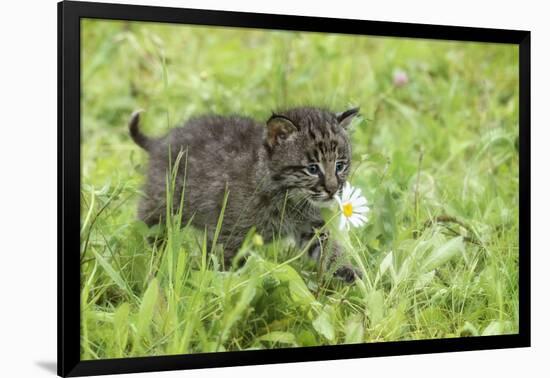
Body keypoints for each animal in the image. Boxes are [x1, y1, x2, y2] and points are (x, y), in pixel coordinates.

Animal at [129, 105, 362, 280]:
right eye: (312, 168)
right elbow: (226, 266)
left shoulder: (312, 225)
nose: (333, 190)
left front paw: (349, 270)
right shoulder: (229, 234)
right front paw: (225, 289)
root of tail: (161, 141)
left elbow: (330, 248)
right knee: (147, 223)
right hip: (163, 203)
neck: (288, 197)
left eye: (340, 166)